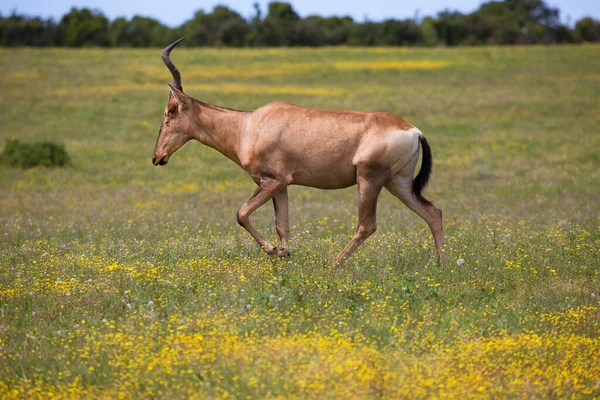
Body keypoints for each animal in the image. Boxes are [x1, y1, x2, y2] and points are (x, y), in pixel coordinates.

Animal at [154, 38, 446, 266]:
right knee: (433, 213)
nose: (157, 157)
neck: (249, 125)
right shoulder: (281, 184)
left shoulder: (273, 180)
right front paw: (285, 253)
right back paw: (442, 266)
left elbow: (241, 214)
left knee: (367, 225)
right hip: (397, 182)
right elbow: (281, 224)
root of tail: (414, 131)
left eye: (171, 111)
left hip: (369, 179)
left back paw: (334, 264)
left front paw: (274, 250)